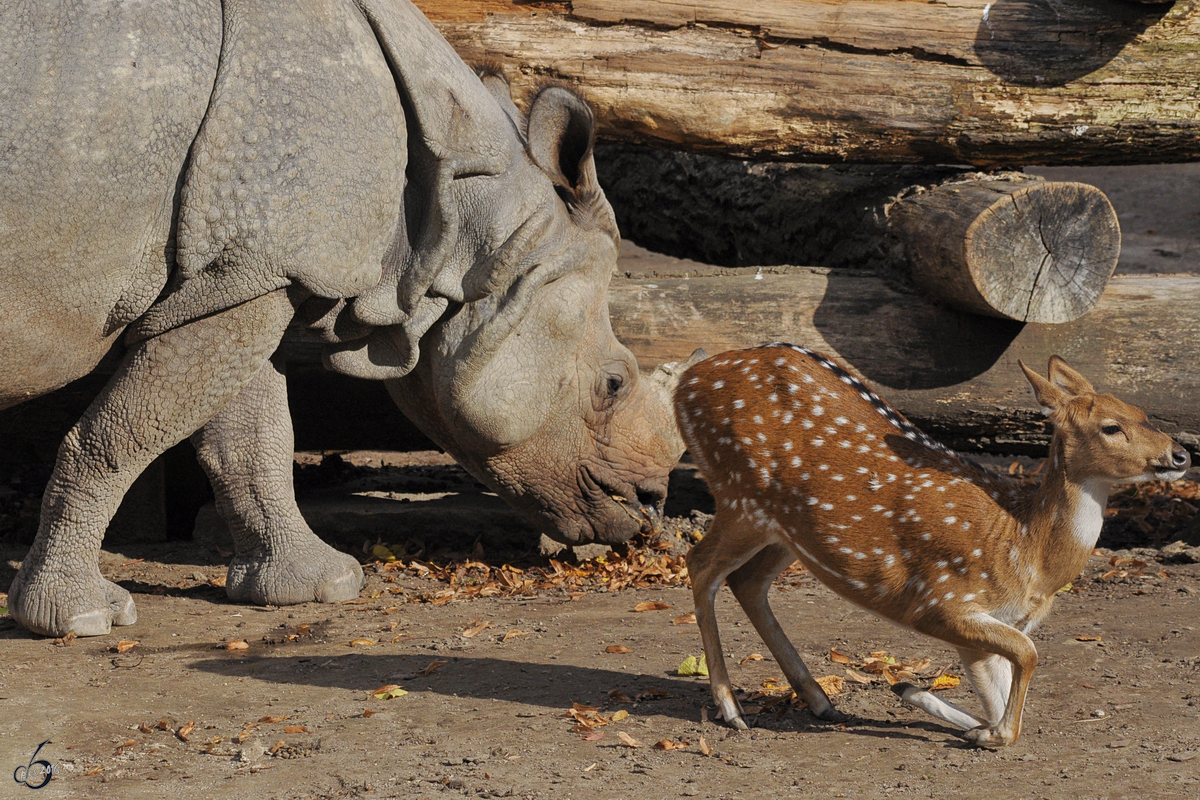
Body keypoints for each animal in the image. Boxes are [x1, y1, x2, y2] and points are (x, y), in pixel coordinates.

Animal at [676, 345, 1190, 753]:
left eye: (1142, 411)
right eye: (1111, 427)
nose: (1181, 455)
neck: (1027, 550)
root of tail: (684, 381)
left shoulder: (987, 627)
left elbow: (1005, 691)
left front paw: (938, 707)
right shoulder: (940, 601)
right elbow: (1027, 657)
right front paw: (981, 730)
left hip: (787, 531)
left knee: (746, 581)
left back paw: (822, 701)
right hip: (740, 496)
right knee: (699, 564)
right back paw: (731, 708)